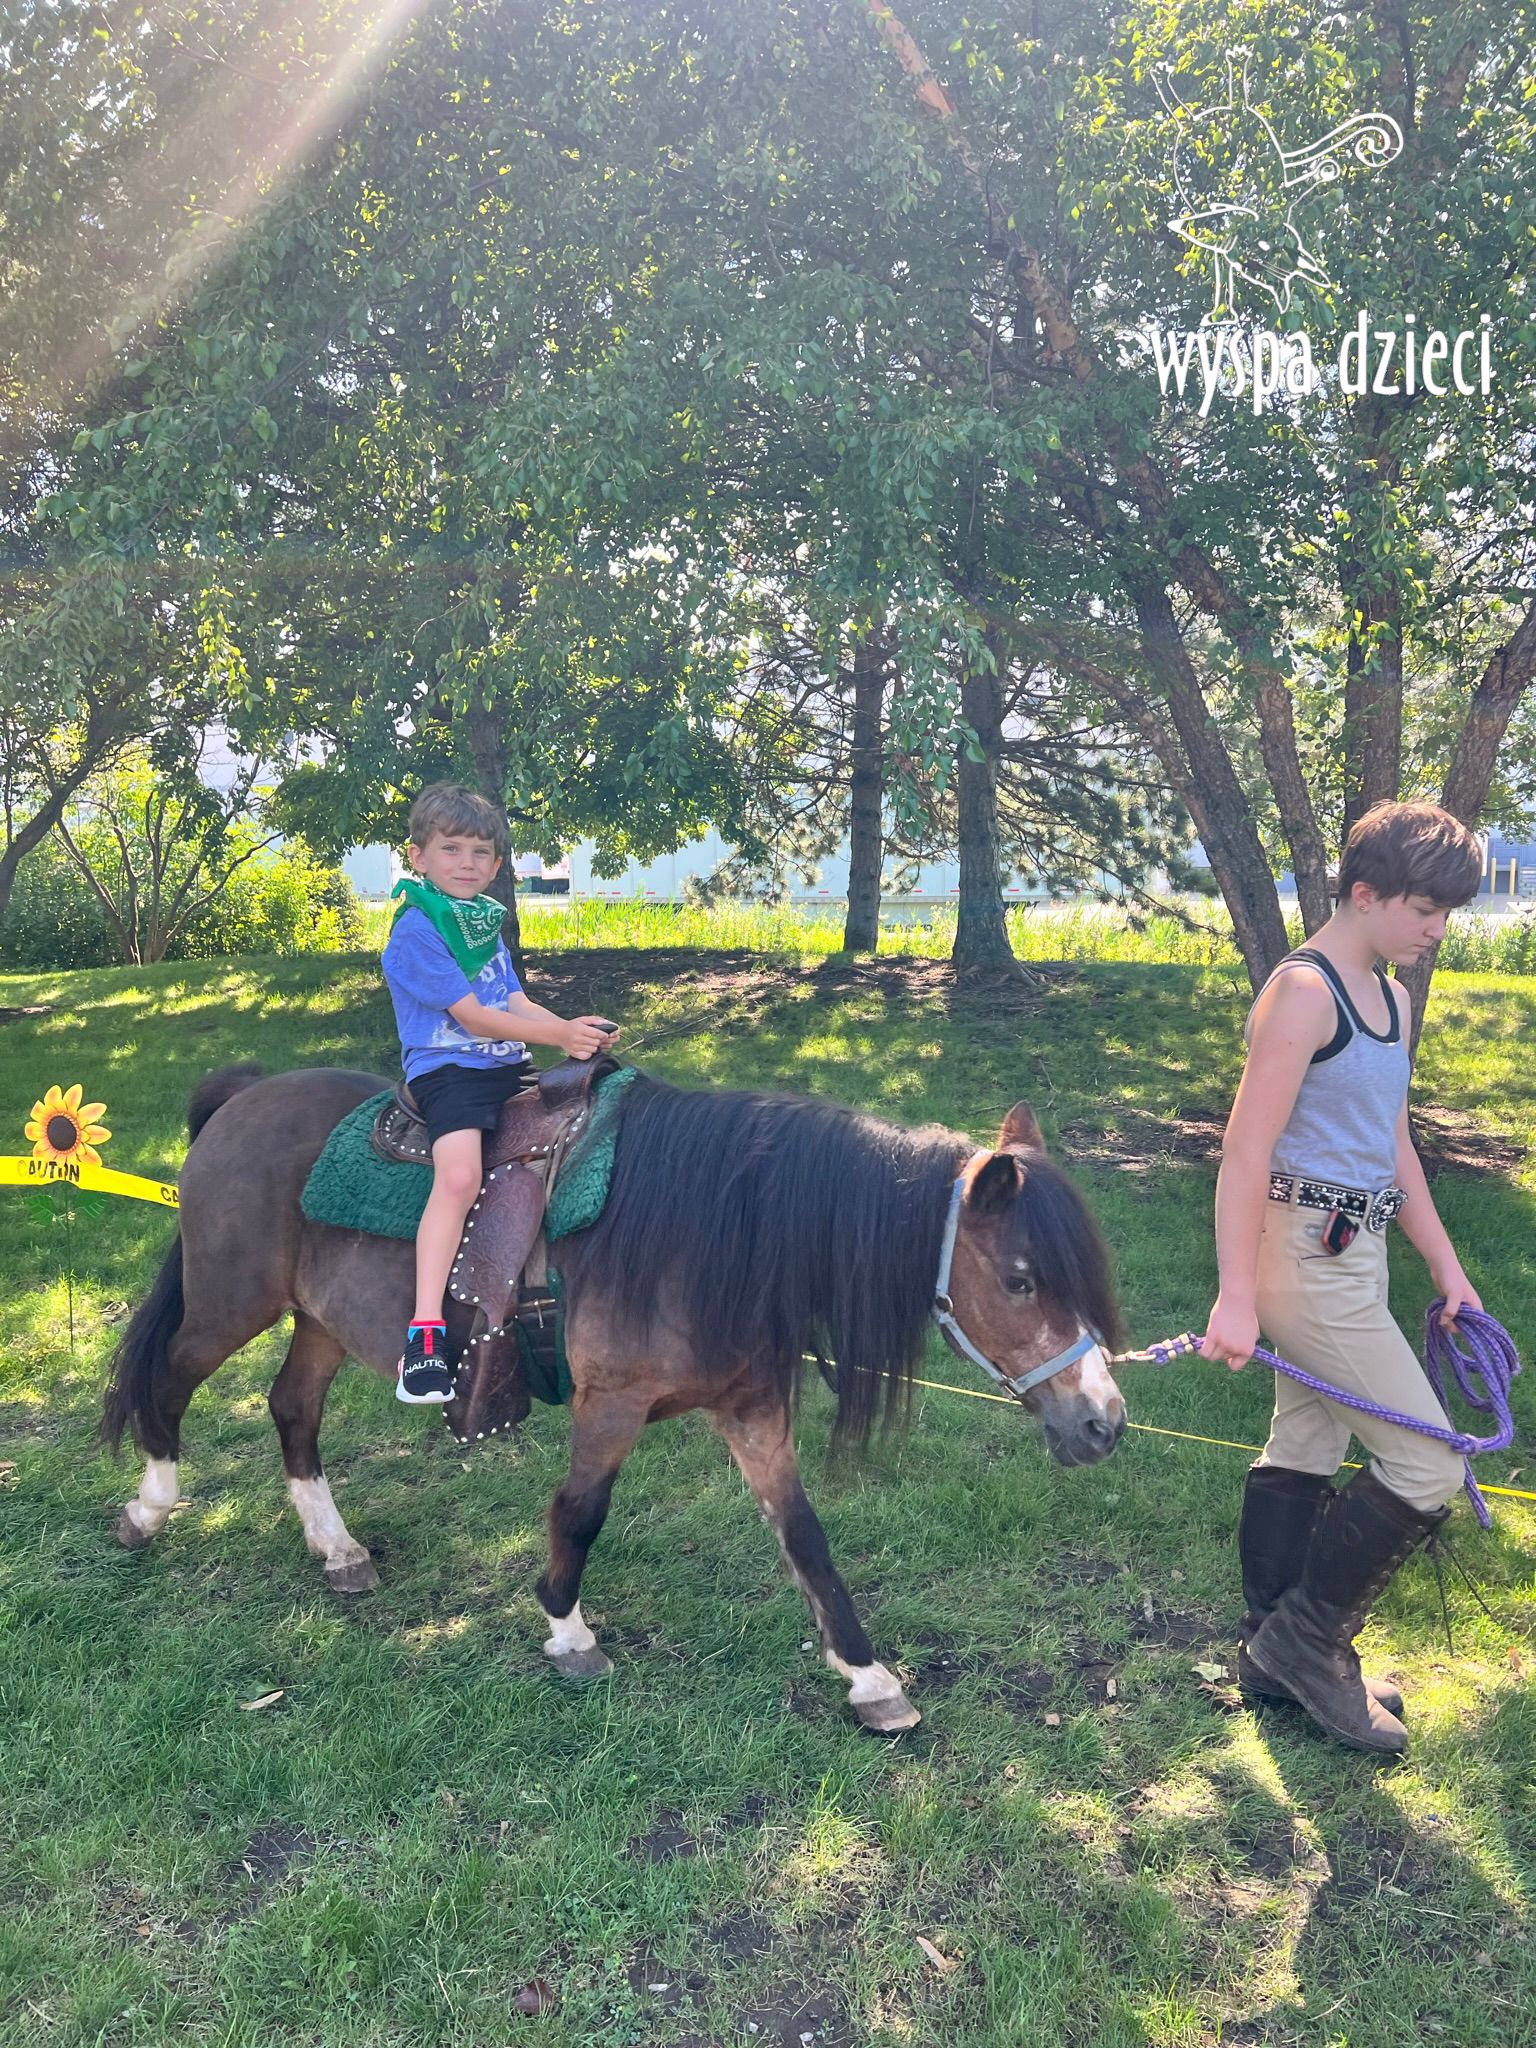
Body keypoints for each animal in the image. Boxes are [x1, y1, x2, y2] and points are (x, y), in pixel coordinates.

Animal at [101, 1063, 1127, 1731]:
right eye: (1024, 1279)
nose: (1104, 1423)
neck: (716, 1228)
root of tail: (241, 1096)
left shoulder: (752, 1408)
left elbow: (804, 1535)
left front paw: (869, 1677)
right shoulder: (613, 1403)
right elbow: (581, 1512)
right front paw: (567, 1631)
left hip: (318, 1321)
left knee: (292, 1408)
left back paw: (337, 1547)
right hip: (229, 1303)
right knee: (166, 1381)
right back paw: (148, 1508)